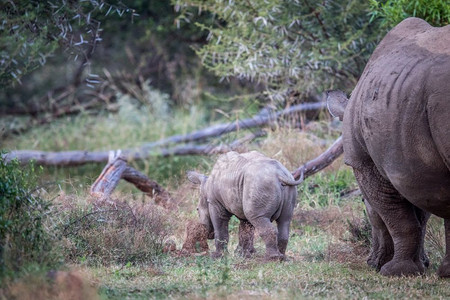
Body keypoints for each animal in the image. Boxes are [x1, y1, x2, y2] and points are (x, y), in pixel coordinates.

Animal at [326, 18, 450, 276]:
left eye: (363, 203)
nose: (369, 262)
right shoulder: (418, 168)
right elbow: (419, 216)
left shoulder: (364, 162)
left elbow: (394, 217)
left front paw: (394, 270)